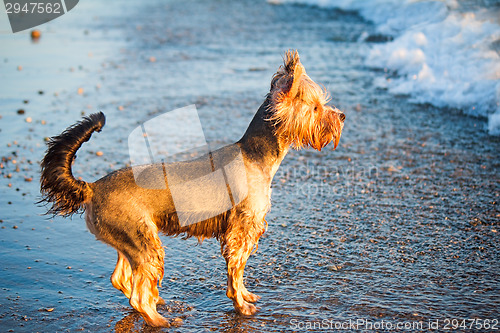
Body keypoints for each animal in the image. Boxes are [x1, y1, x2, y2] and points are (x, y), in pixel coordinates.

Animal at [40, 50, 344, 326]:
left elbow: (239, 273)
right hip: (144, 242)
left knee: (122, 279)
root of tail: (92, 188)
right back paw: (159, 320)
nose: (341, 116)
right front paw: (241, 306)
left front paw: (245, 295)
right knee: (138, 295)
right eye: (316, 107)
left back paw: (157, 301)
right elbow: (236, 271)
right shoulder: (242, 230)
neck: (255, 154)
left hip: (131, 241)